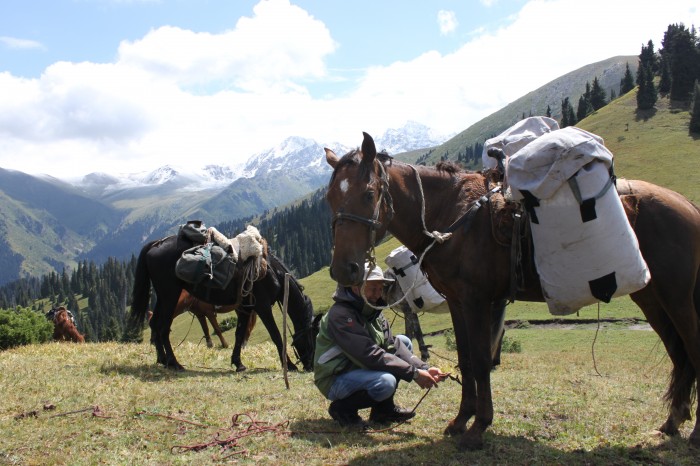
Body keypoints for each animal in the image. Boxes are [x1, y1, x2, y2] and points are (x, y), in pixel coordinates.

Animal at [129, 235, 314, 374]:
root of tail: (156, 244)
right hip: (170, 296)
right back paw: (174, 363)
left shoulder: (246, 309)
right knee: (163, 328)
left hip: (163, 297)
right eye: (313, 337)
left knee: (155, 323)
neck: (272, 273)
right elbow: (276, 335)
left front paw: (238, 363)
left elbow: (239, 334)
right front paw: (290, 365)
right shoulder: (263, 307)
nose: (311, 366)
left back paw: (162, 359)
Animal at [326, 132, 700, 452]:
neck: (450, 215)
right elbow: (465, 359)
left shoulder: (477, 302)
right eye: (330, 198)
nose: (344, 270)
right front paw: (460, 421)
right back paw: (670, 424)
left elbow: (480, 361)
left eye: (369, 194)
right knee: (679, 355)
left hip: (677, 297)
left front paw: (478, 428)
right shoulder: (458, 303)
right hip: (651, 298)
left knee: (692, 350)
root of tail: (685, 204)